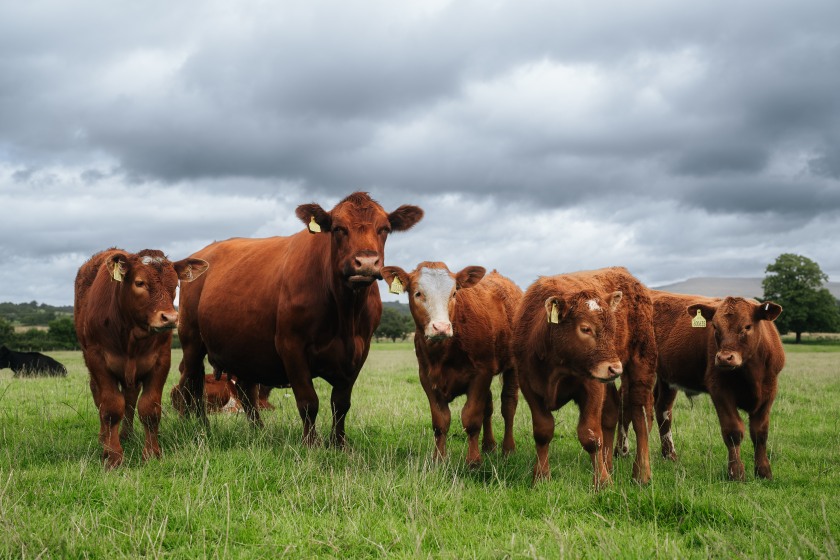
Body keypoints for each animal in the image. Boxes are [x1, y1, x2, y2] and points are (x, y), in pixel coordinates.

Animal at [74, 248, 208, 468]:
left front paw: (152, 453)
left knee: (129, 399)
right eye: (139, 283)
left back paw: (127, 434)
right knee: (100, 397)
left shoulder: (160, 361)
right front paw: (113, 456)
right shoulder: (98, 361)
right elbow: (110, 408)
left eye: (176, 285)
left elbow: (149, 409)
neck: (131, 335)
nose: (170, 318)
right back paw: (104, 439)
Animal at [174, 192, 423, 447]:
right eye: (338, 228)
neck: (345, 313)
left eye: (384, 229)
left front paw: (339, 443)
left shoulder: (360, 350)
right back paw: (196, 426)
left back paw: (258, 431)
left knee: (245, 390)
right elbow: (308, 401)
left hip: (244, 348)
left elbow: (341, 403)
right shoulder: (291, 346)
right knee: (190, 381)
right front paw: (311, 443)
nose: (366, 263)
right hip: (191, 340)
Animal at [380, 263, 521, 466]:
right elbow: (440, 421)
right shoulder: (427, 378)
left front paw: (473, 461)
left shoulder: (481, 375)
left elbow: (471, 418)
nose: (441, 327)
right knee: (489, 407)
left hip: (512, 367)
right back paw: (488, 445)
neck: (443, 353)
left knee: (508, 405)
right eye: (418, 293)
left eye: (454, 293)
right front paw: (439, 459)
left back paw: (508, 449)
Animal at [513, 267, 657, 489]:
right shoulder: (529, 386)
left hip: (641, 367)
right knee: (612, 412)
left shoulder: (592, 387)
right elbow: (543, 431)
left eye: (613, 328)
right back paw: (609, 465)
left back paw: (641, 473)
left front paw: (603, 482)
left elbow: (590, 435)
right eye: (585, 328)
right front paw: (541, 477)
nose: (614, 368)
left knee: (641, 419)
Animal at [616, 291, 785, 481]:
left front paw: (764, 471)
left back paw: (669, 454)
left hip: (666, 377)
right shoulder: (719, 390)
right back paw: (621, 451)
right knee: (624, 405)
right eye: (715, 327)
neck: (750, 372)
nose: (724, 358)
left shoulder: (768, 391)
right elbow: (733, 431)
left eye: (747, 326)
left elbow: (760, 433)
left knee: (663, 409)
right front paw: (736, 473)